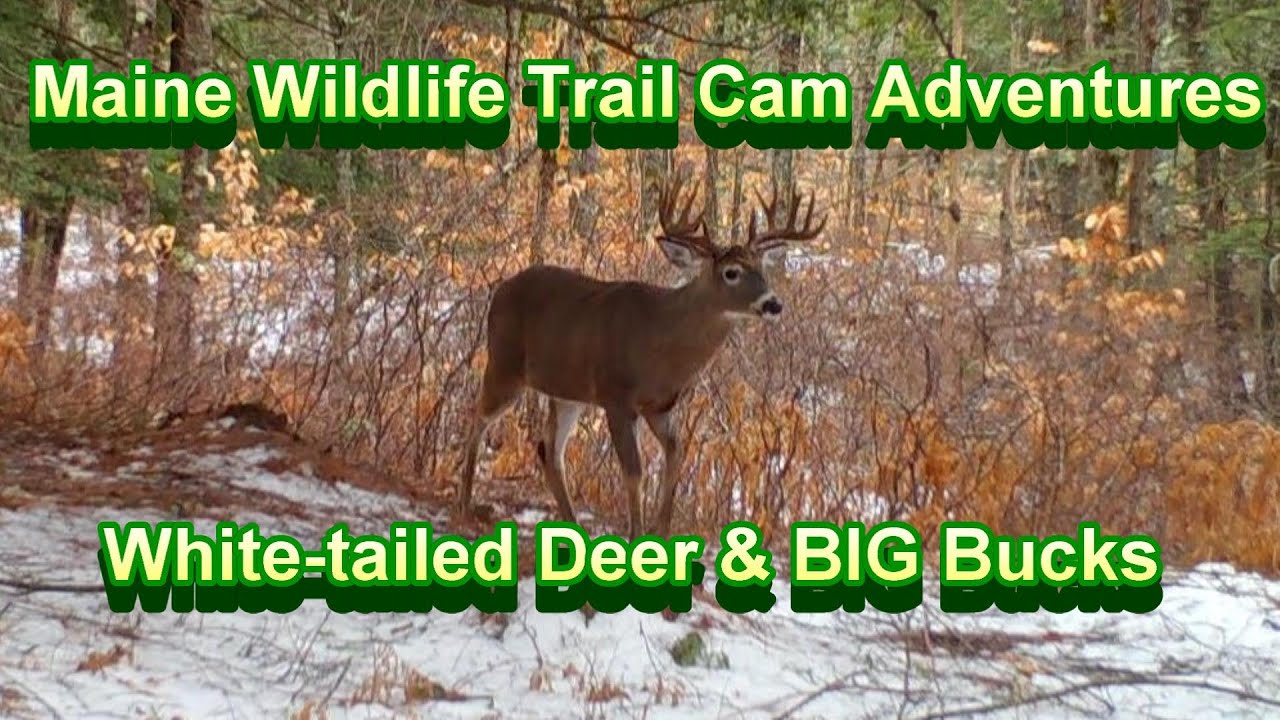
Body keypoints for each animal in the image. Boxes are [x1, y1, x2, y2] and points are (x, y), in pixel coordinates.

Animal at [457, 175, 827, 537]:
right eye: (731, 272)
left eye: (762, 267)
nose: (773, 304)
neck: (661, 345)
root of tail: (501, 288)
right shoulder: (616, 397)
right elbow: (634, 471)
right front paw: (637, 536)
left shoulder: (659, 406)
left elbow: (676, 455)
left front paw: (661, 531)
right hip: (504, 364)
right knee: (478, 417)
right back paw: (465, 505)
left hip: (566, 392)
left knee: (549, 450)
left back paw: (571, 526)